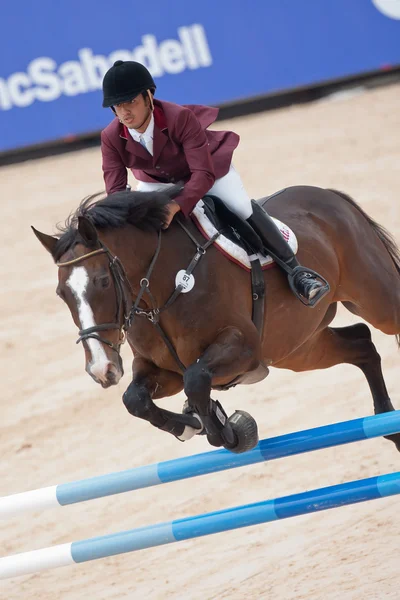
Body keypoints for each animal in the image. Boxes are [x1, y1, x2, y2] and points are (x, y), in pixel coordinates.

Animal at [32, 185, 400, 452]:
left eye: (103, 282)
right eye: (61, 293)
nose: (101, 370)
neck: (161, 290)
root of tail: (330, 196)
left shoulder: (244, 349)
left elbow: (196, 379)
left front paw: (229, 431)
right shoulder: (161, 370)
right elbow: (135, 399)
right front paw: (190, 425)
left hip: (378, 302)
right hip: (300, 349)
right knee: (362, 343)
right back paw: (388, 424)